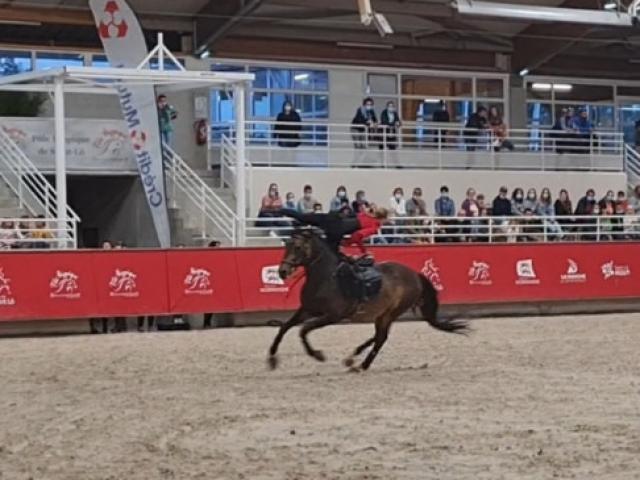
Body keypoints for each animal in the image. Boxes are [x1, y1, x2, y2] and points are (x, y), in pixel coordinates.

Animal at [266, 229, 470, 372]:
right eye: (286, 245)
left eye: (298, 247)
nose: (282, 271)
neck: (325, 278)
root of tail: (415, 275)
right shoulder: (307, 309)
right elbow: (284, 328)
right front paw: (272, 359)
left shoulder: (333, 316)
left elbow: (303, 330)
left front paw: (317, 355)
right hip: (382, 314)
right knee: (378, 335)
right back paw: (353, 357)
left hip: (391, 312)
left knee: (381, 338)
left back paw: (361, 365)